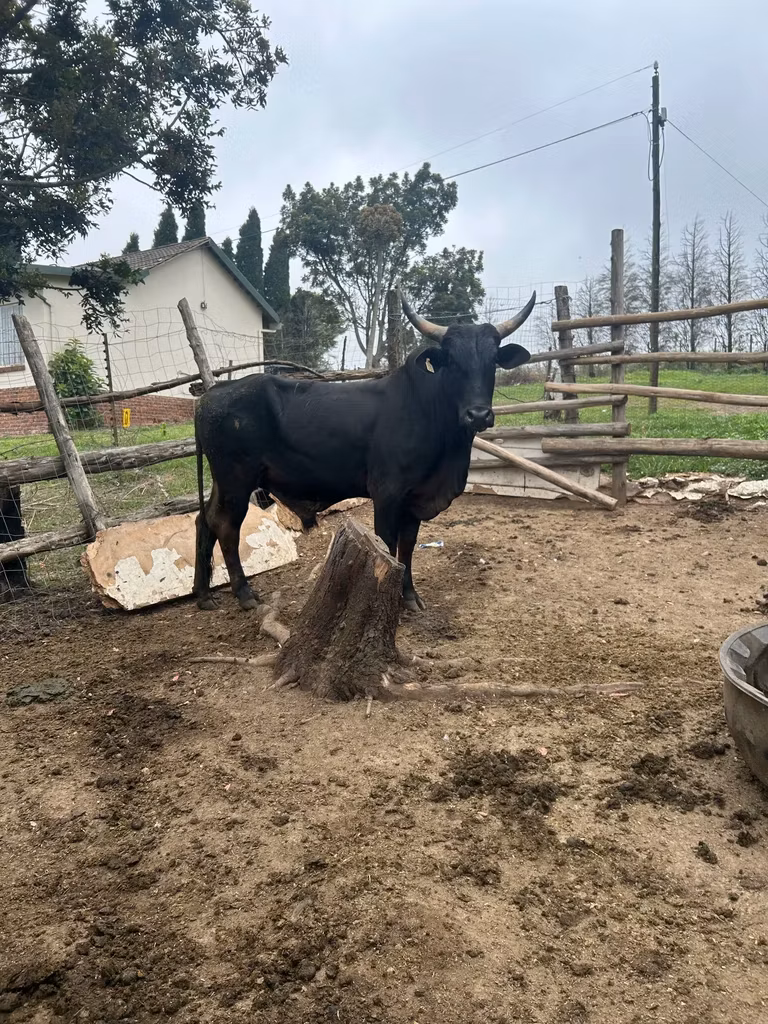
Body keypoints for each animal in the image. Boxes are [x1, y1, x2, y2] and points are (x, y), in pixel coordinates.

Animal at [192, 290, 536, 613]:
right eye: (451, 361)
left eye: (492, 360)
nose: (478, 415)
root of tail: (211, 394)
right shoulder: (387, 494)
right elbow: (388, 544)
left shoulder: (415, 499)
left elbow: (408, 546)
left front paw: (410, 596)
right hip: (236, 480)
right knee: (226, 527)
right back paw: (244, 594)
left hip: (224, 482)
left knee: (204, 520)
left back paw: (203, 595)